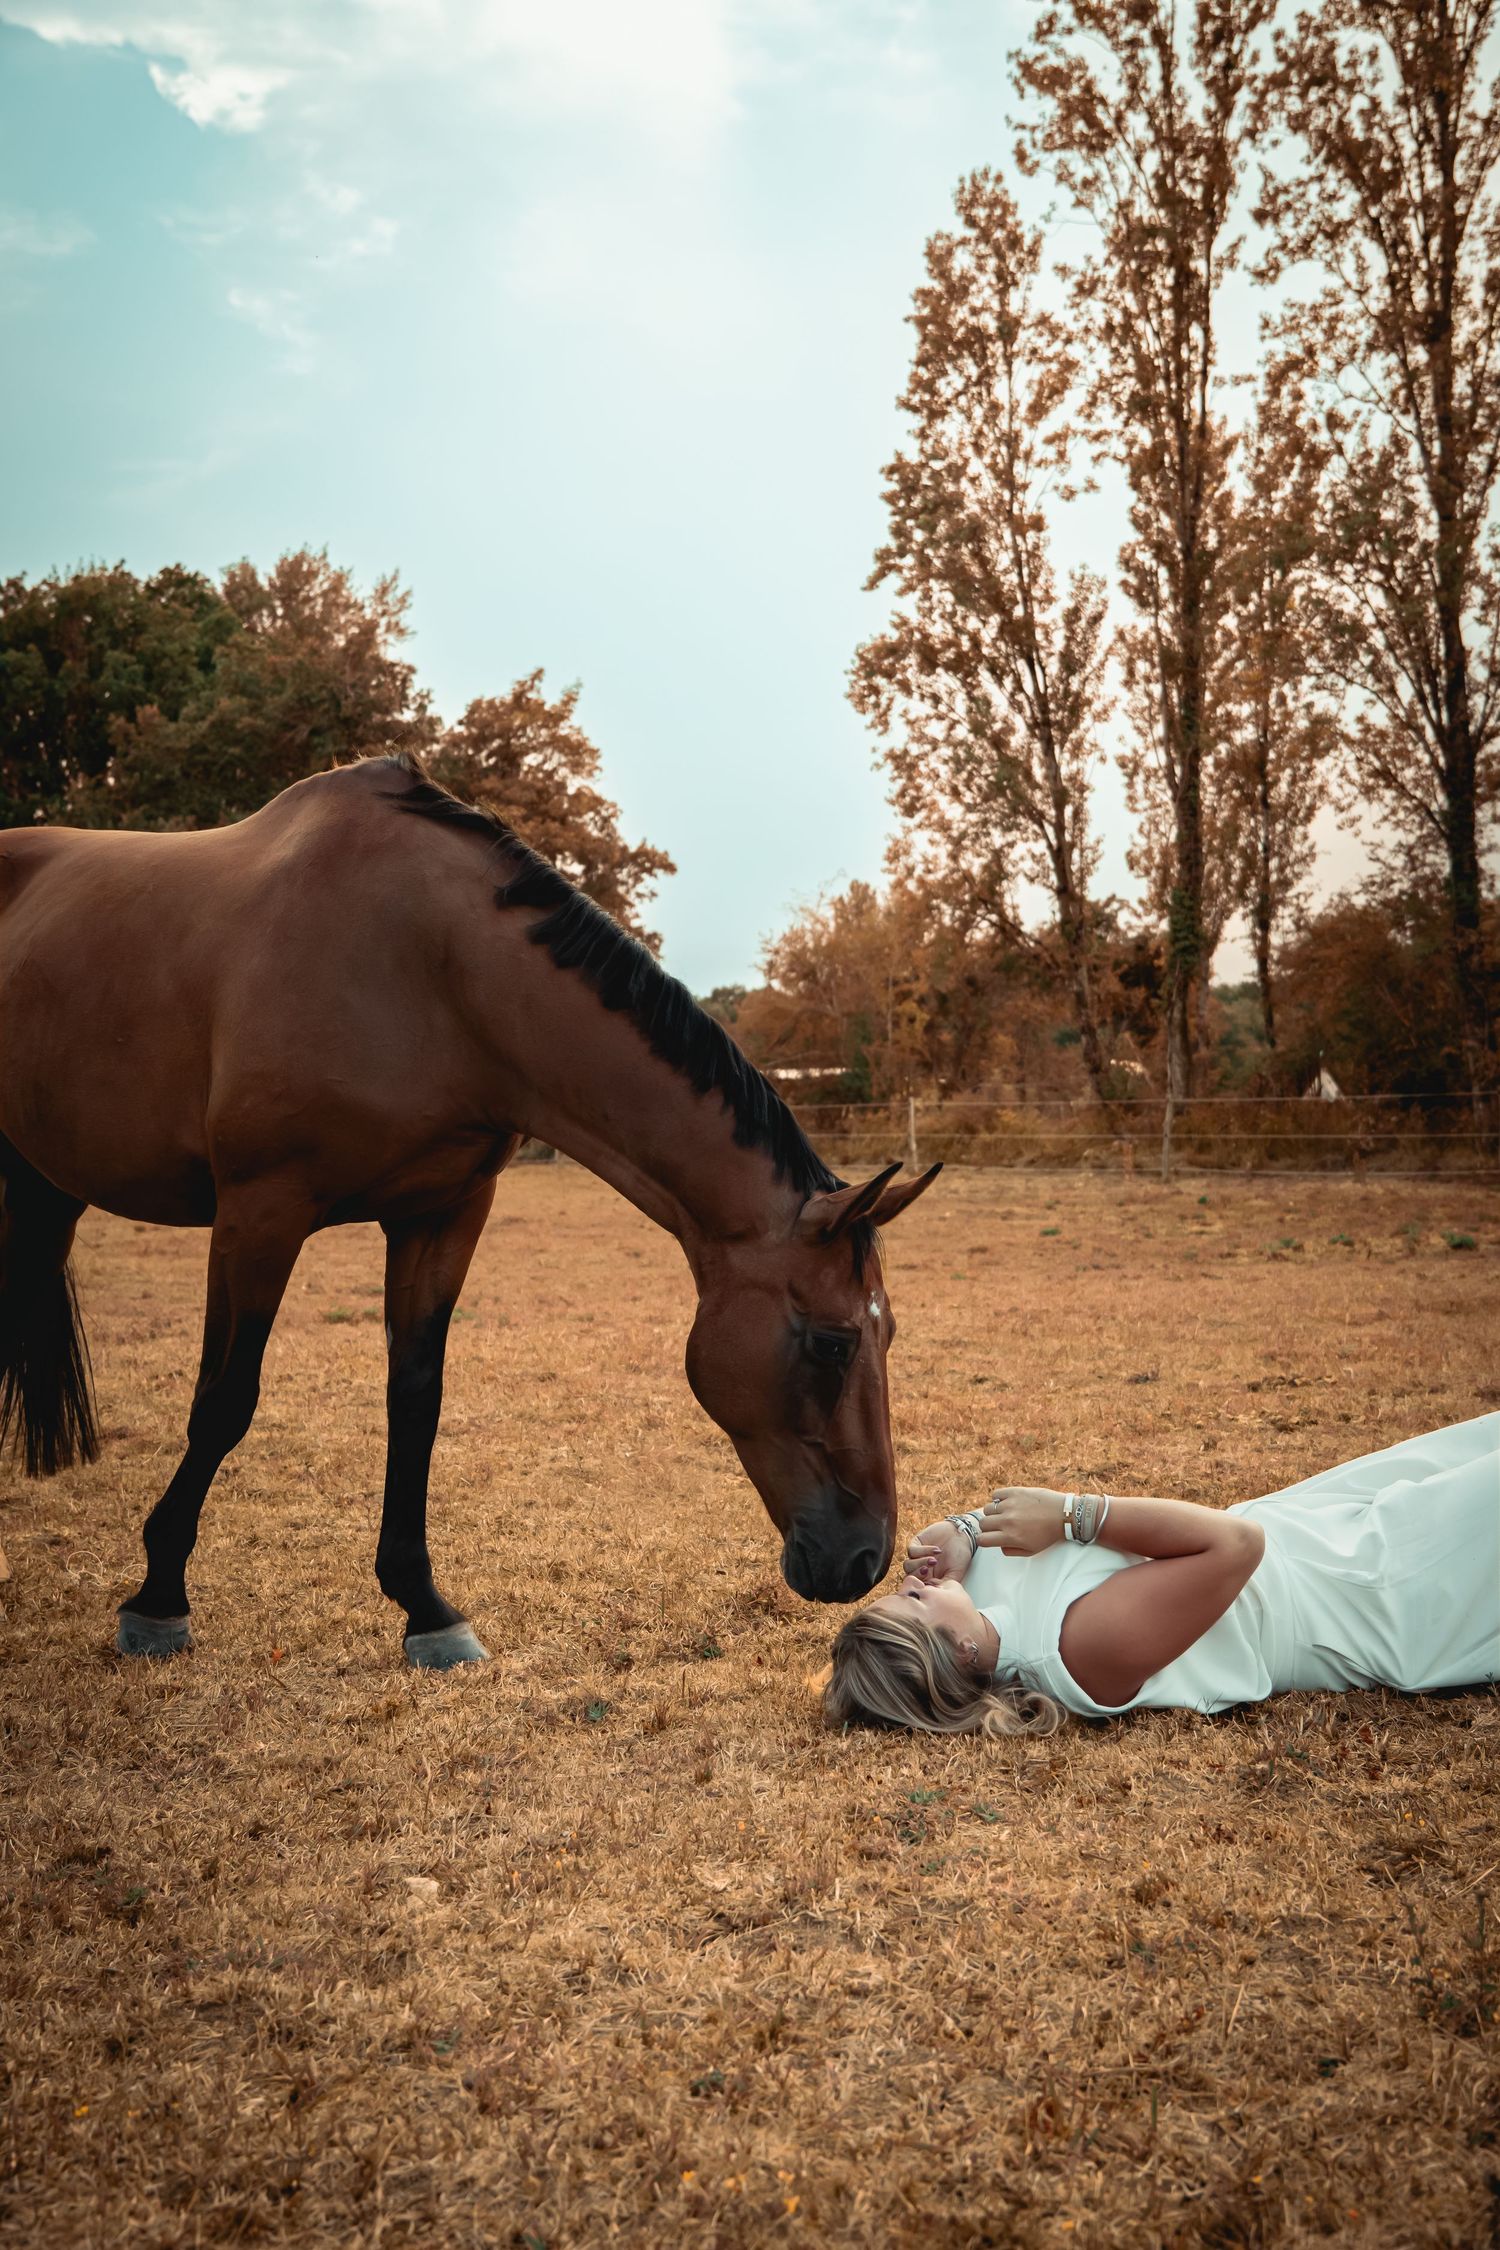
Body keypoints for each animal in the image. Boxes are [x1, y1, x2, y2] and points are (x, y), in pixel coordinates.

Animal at [0, 754, 939, 1665]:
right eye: (833, 1342)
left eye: (889, 1333)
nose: (866, 1556)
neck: (430, 970)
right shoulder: (258, 1214)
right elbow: (224, 1399)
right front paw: (158, 1600)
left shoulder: (443, 1215)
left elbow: (416, 1399)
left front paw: (425, 1608)